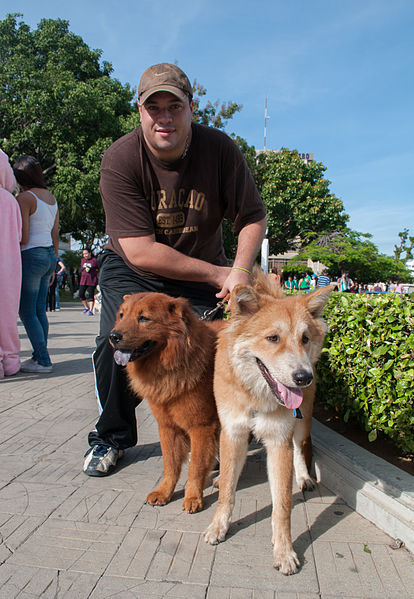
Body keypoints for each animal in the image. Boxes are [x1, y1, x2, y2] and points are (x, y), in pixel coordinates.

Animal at [108, 292, 222, 512]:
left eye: (143, 318)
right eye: (121, 315)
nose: (113, 336)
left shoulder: (201, 427)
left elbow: (195, 467)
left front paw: (193, 498)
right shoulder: (168, 426)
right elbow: (170, 464)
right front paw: (163, 493)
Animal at [205, 270, 334, 572]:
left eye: (305, 338)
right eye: (273, 338)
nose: (303, 377)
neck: (256, 395)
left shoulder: (279, 440)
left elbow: (283, 505)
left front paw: (284, 550)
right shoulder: (232, 432)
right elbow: (227, 491)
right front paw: (218, 526)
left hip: (302, 422)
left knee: (300, 447)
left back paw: (304, 477)